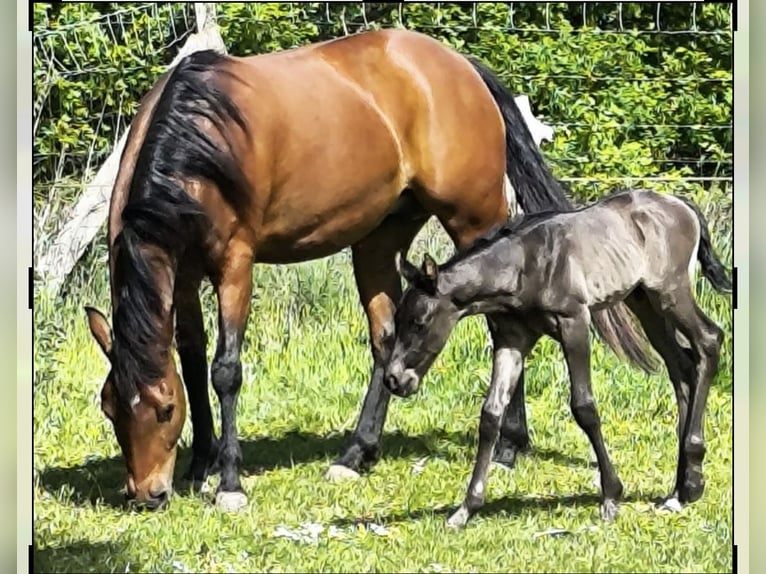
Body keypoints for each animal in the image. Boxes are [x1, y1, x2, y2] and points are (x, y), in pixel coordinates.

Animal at [83, 28, 646, 511]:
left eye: (163, 409)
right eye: (110, 408)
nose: (147, 494)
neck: (201, 138)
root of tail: (461, 66)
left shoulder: (234, 265)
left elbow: (226, 370)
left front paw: (229, 482)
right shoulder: (181, 272)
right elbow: (192, 359)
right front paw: (200, 466)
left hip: (473, 220)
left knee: (498, 321)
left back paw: (508, 448)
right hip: (378, 240)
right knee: (386, 340)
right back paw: (356, 454)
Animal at [384, 188, 732, 528]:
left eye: (420, 321)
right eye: (397, 318)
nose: (394, 379)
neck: (524, 265)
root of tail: (681, 204)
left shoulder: (574, 323)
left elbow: (584, 407)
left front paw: (611, 497)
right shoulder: (513, 340)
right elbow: (491, 414)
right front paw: (466, 509)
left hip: (670, 293)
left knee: (709, 340)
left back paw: (691, 475)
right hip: (644, 301)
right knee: (682, 367)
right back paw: (681, 489)